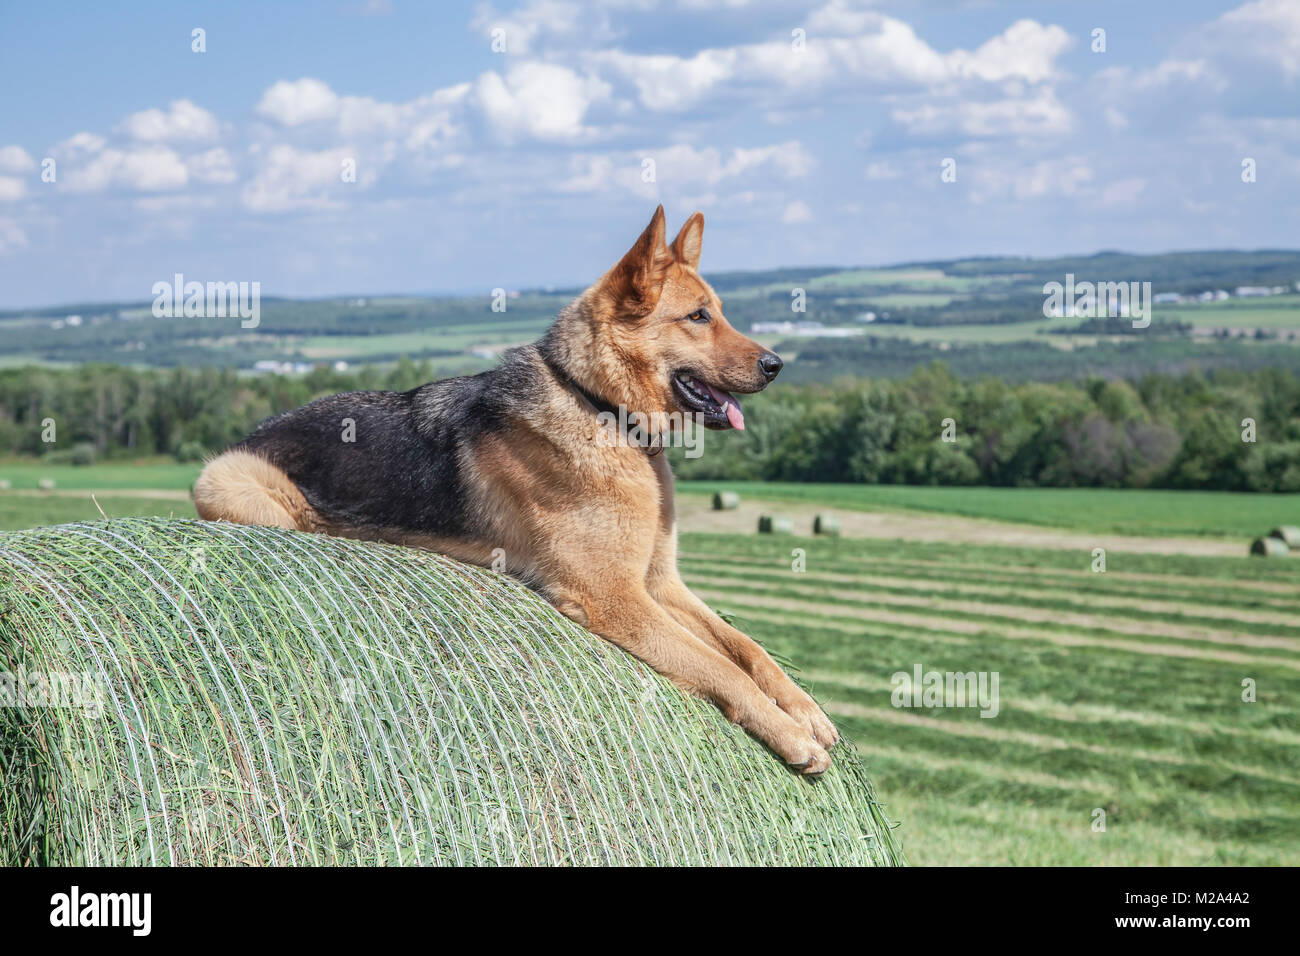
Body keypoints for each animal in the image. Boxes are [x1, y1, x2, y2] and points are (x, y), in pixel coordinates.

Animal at [197, 205, 837, 775]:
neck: (597, 404)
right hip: (235, 484)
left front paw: (805, 710)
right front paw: (789, 734)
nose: (777, 364)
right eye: (699, 317)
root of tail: (257, 429)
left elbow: (746, 646)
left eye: (719, 312)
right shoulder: (616, 596)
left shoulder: (659, 583)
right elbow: (718, 665)